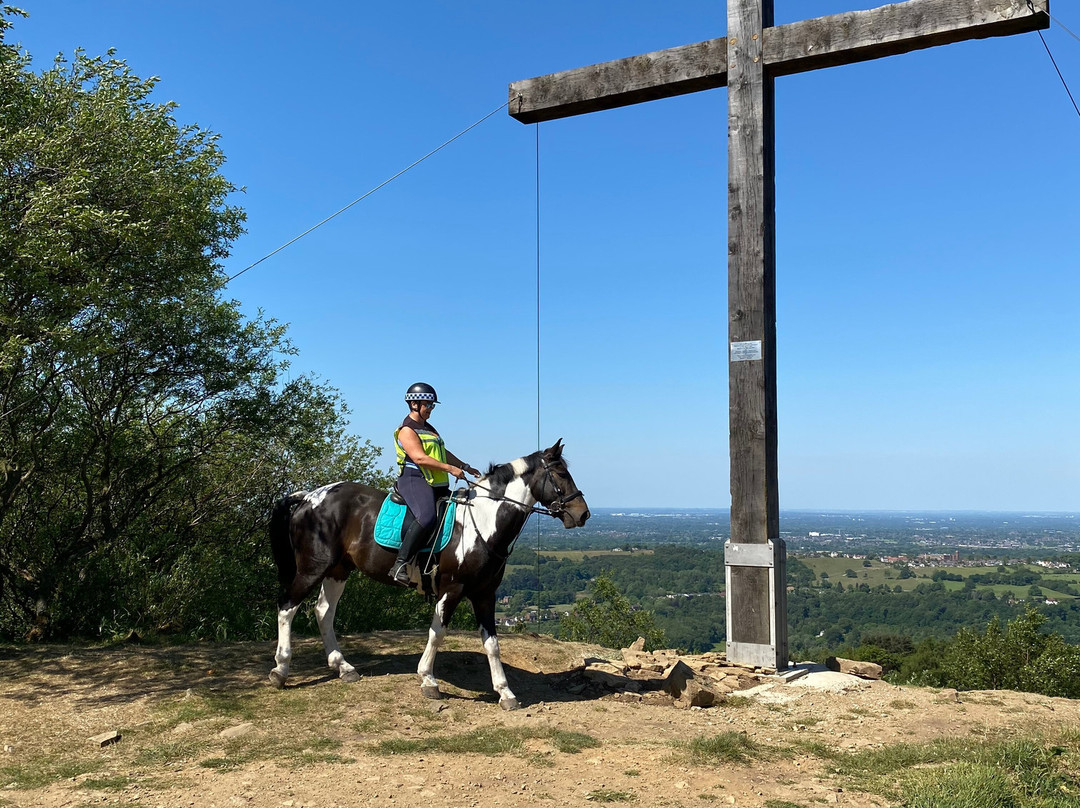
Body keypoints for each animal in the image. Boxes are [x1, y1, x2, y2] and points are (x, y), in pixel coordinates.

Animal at [270, 438, 591, 708]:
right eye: (561, 474)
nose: (583, 514)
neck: (483, 523)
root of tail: (309, 496)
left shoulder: (485, 594)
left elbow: (492, 644)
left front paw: (505, 692)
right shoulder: (452, 589)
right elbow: (437, 633)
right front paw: (428, 679)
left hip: (338, 569)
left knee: (323, 611)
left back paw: (343, 667)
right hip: (313, 568)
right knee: (287, 607)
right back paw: (280, 670)